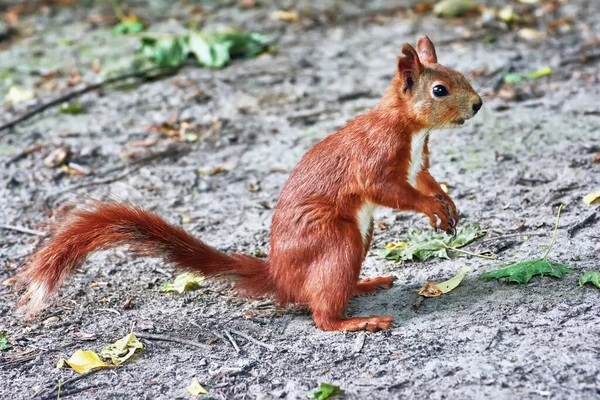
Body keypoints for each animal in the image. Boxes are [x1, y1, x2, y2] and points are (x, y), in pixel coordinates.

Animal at [15, 36, 482, 332]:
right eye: (440, 90)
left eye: (460, 74)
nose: (478, 104)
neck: (409, 128)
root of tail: (279, 275)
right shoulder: (374, 160)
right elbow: (393, 192)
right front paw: (432, 208)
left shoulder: (417, 164)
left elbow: (426, 181)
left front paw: (446, 203)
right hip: (337, 240)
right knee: (320, 314)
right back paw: (356, 321)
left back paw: (365, 285)